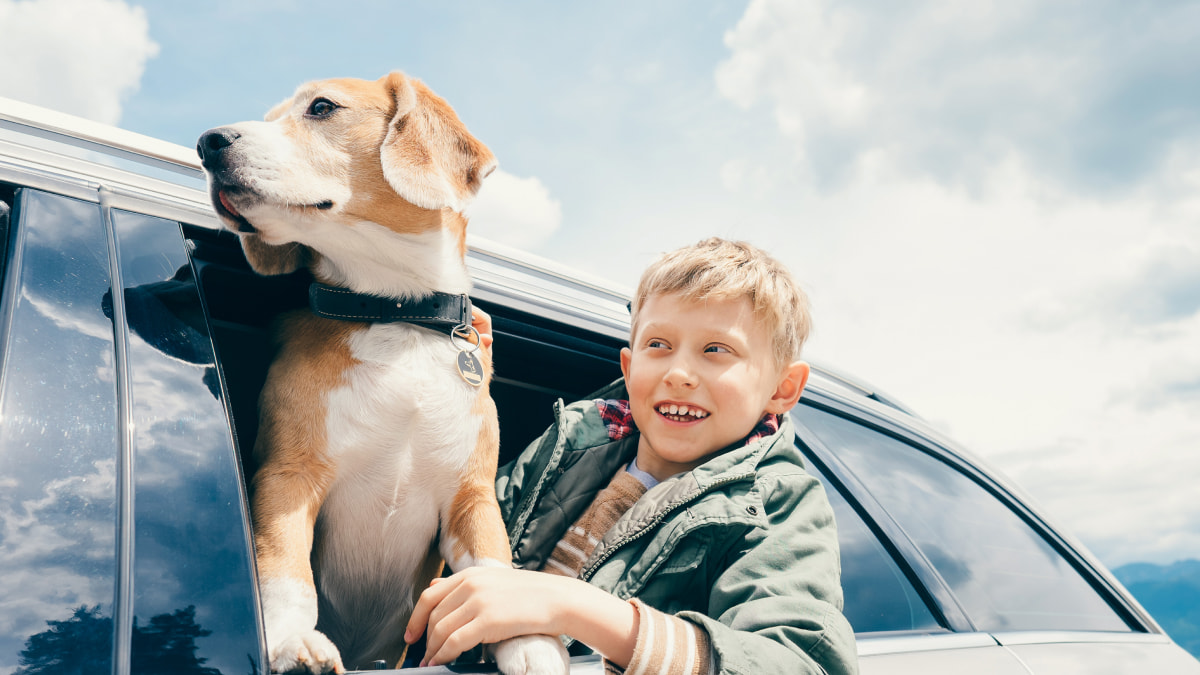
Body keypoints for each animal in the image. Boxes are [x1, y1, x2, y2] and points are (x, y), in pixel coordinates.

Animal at [196, 72, 571, 672]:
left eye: (321, 107)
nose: (207, 142)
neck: (398, 315)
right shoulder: (287, 476)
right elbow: (283, 569)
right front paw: (291, 639)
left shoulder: (471, 497)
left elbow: (495, 569)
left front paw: (532, 645)